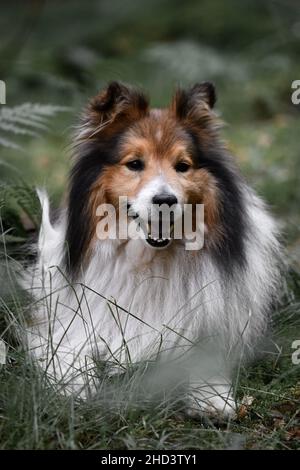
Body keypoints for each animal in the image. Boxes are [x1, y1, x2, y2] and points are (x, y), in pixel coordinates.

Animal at [24, 81, 282, 418]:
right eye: (134, 163)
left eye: (182, 166)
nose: (165, 201)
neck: (148, 261)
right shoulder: (75, 320)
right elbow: (72, 351)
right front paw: (75, 388)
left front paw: (211, 396)